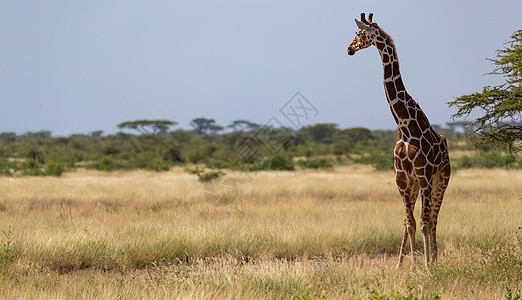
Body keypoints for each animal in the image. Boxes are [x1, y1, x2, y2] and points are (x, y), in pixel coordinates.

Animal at [344, 13, 448, 268]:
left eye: (359, 33)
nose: (349, 48)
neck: (405, 126)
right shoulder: (401, 178)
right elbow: (409, 222)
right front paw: (407, 266)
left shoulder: (424, 176)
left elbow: (424, 222)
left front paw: (426, 266)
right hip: (414, 185)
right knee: (411, 219)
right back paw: (407, 262)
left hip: (441, 178)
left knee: (434, 218)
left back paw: (436, 260)